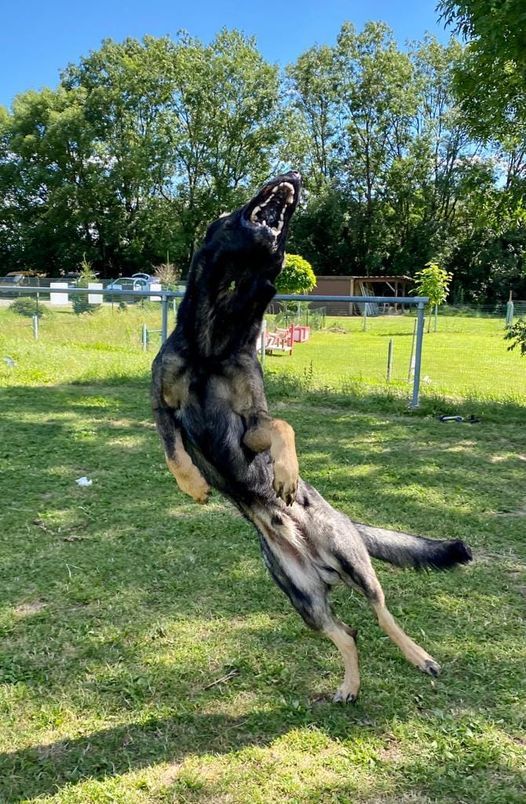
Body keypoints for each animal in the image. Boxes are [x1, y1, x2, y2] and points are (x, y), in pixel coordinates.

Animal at [152, 171, 472, 702]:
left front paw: (286, 474)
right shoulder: (164, 406)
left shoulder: (250, 424)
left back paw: (418, 656)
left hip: (354, 565)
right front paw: (193, 485)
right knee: (349, 633)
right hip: (303, 599)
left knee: (382, 615)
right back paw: (349, 686)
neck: (218, 330)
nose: (295, 177)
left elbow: (284, 425)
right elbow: (173, 450)